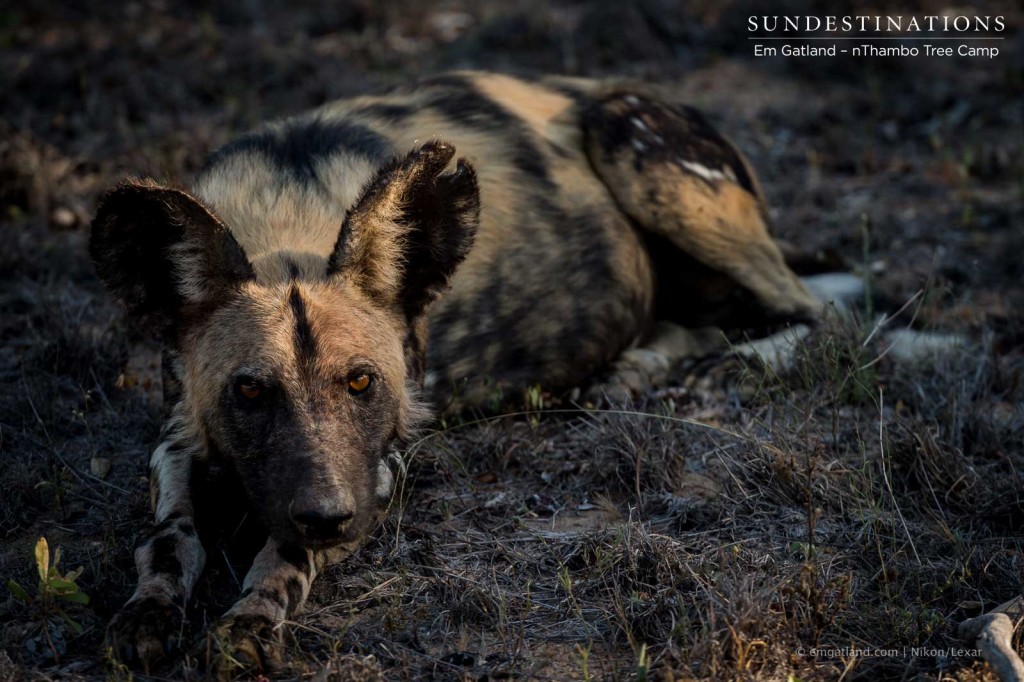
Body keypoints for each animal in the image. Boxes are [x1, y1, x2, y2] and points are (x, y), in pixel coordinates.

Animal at [92, 71, 819, 667]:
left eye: (361, 382)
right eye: (248, 391)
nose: (327, 515)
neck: (287, 225)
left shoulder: (379, 469)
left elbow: (284, 553)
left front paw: (248, 621)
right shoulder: (179, 437)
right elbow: (168, 536)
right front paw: (149, 610)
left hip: (637, 150)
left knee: (811, 312)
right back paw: (629, 371)